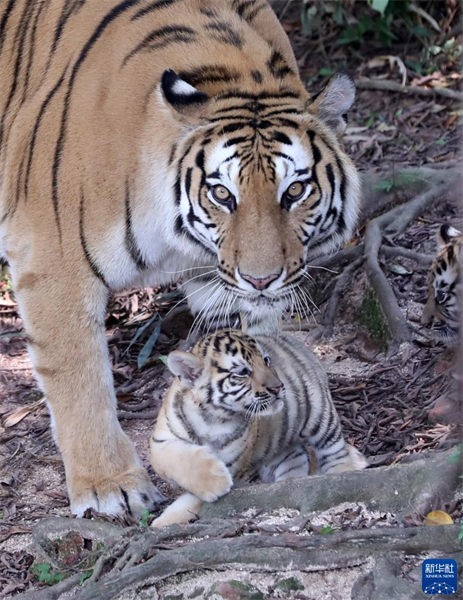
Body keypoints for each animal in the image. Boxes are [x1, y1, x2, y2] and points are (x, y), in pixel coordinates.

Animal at [0, 0, 362, 516]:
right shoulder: (51, 257)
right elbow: (78, 378)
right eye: (222, 193)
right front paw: (111, 486)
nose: (262, 280)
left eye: (295, 191)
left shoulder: (218, 279)